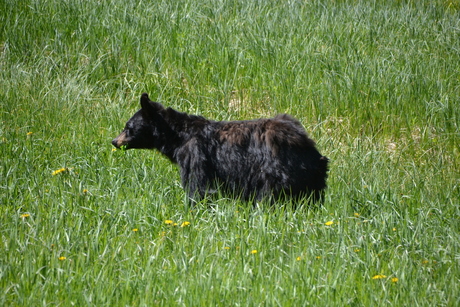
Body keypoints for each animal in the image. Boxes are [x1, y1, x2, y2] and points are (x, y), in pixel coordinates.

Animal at [112, 93, 328, 205]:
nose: (114, 141)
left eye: (128, 127)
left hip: (275, 172)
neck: (179, 136)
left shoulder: (195, 154)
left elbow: (198, 186)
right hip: (313, 179)